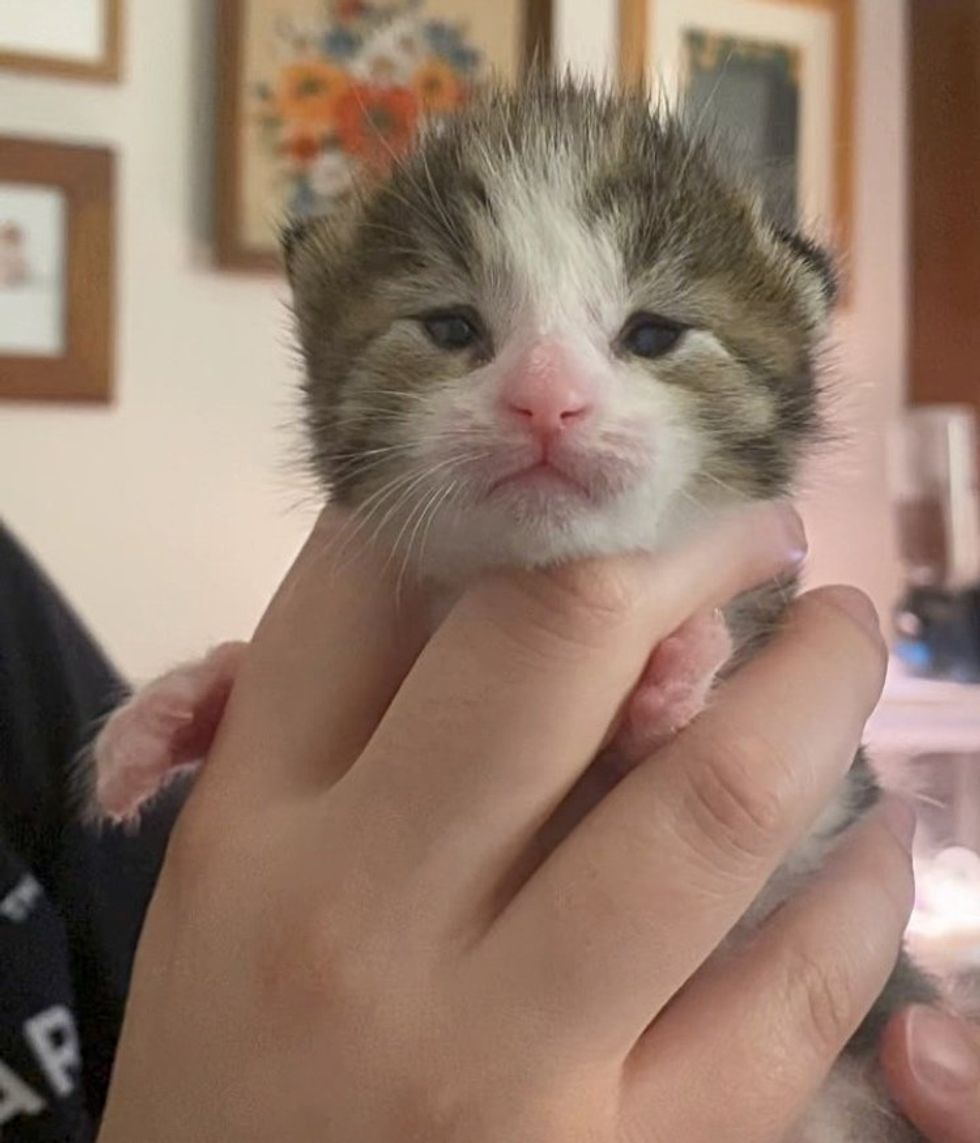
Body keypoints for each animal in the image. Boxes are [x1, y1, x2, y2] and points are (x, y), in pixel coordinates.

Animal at [95, 76, 937, 1138]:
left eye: (653, 334)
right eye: (452, 328)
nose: (546, 400)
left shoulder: (825, 810)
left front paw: (680, 666)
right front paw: (172, 706)